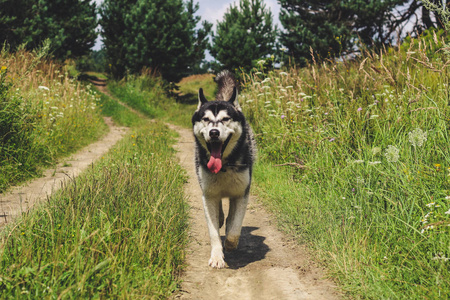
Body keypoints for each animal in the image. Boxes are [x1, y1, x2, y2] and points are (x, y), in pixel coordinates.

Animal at [192, 71, 256, 270]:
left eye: (226, 119)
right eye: (205, 119)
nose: (214, 132)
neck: (225, 166)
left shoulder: (241, 193)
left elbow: (235, 228)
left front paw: (230, 243)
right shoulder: (208, 195)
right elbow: (213, 231)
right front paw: (217, 256)